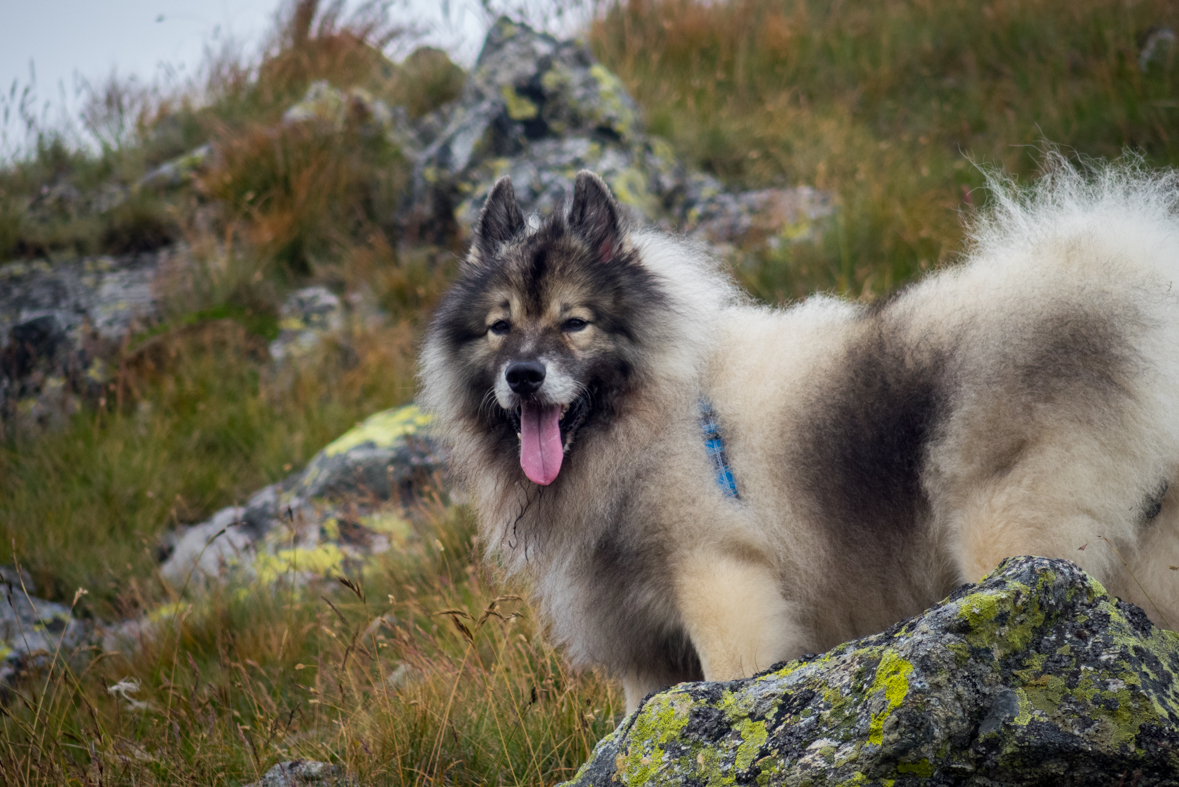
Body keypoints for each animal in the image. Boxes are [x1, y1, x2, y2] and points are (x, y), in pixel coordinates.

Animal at [417, 160, 1179, 711]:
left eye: (575, 322)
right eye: (499, 326)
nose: (523, 375)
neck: (653, 417)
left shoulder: (721, 584)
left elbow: (732, 672)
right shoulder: (647, 657)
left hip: (1014, 543)